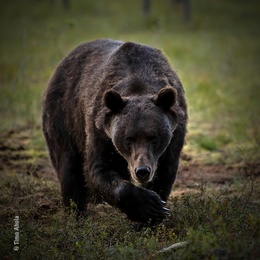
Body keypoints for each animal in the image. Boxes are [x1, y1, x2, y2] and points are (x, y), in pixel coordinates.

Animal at [43, 38, 189, 223]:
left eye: (154, 138)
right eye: (128, 138)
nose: (142, 171)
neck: (138, 83)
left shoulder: (175, 135)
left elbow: (165, 172)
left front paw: (153, 214)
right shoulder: (99, 131)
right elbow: (98, 170)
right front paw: (147, 206)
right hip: (64, 117)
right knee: (68, 166)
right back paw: (76, 215)